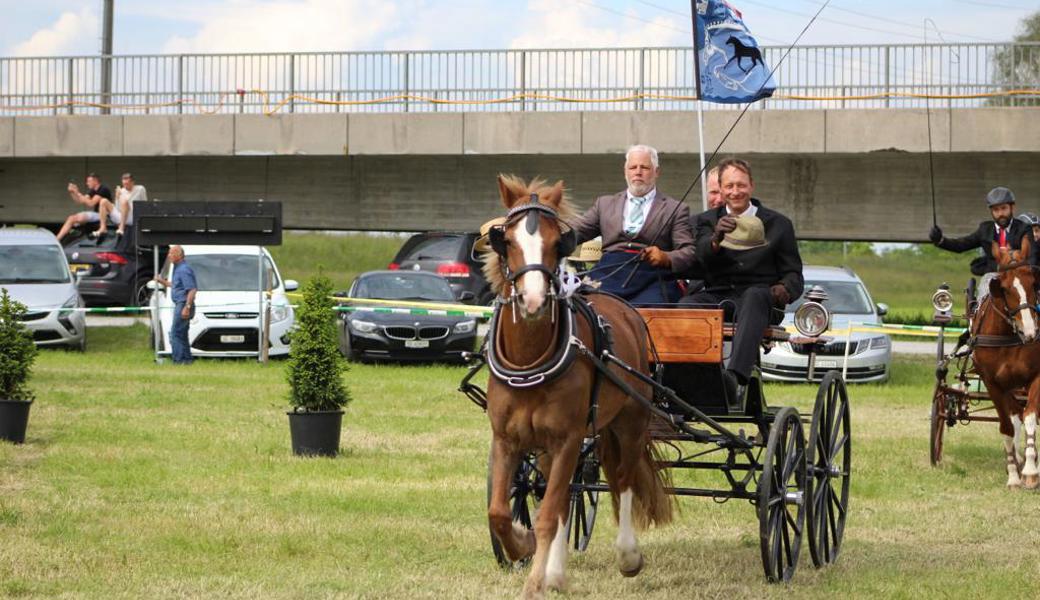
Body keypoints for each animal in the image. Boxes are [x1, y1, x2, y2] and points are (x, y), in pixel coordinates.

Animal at [482, 175, 669, 594]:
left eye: (557, 242)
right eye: (507, 240)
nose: (533, 300)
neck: (530, 360)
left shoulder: (567, 437)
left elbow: (548, 514)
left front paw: (534, 583)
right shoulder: (506, 438)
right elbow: (500, 511)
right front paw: (523, 545)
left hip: (630, 421)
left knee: (622, 479)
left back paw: (627, 556)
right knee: (569, 492)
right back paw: (555, 571)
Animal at [965, 236, 1040, 488]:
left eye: (1033, 284)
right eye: (1004, 289)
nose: (1031, 332)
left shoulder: (1036, 377)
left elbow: (1030, 417)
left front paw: (1030, 471)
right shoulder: (994, 384)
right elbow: (1007, 427)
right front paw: (1014, 475)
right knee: (1015, 415)